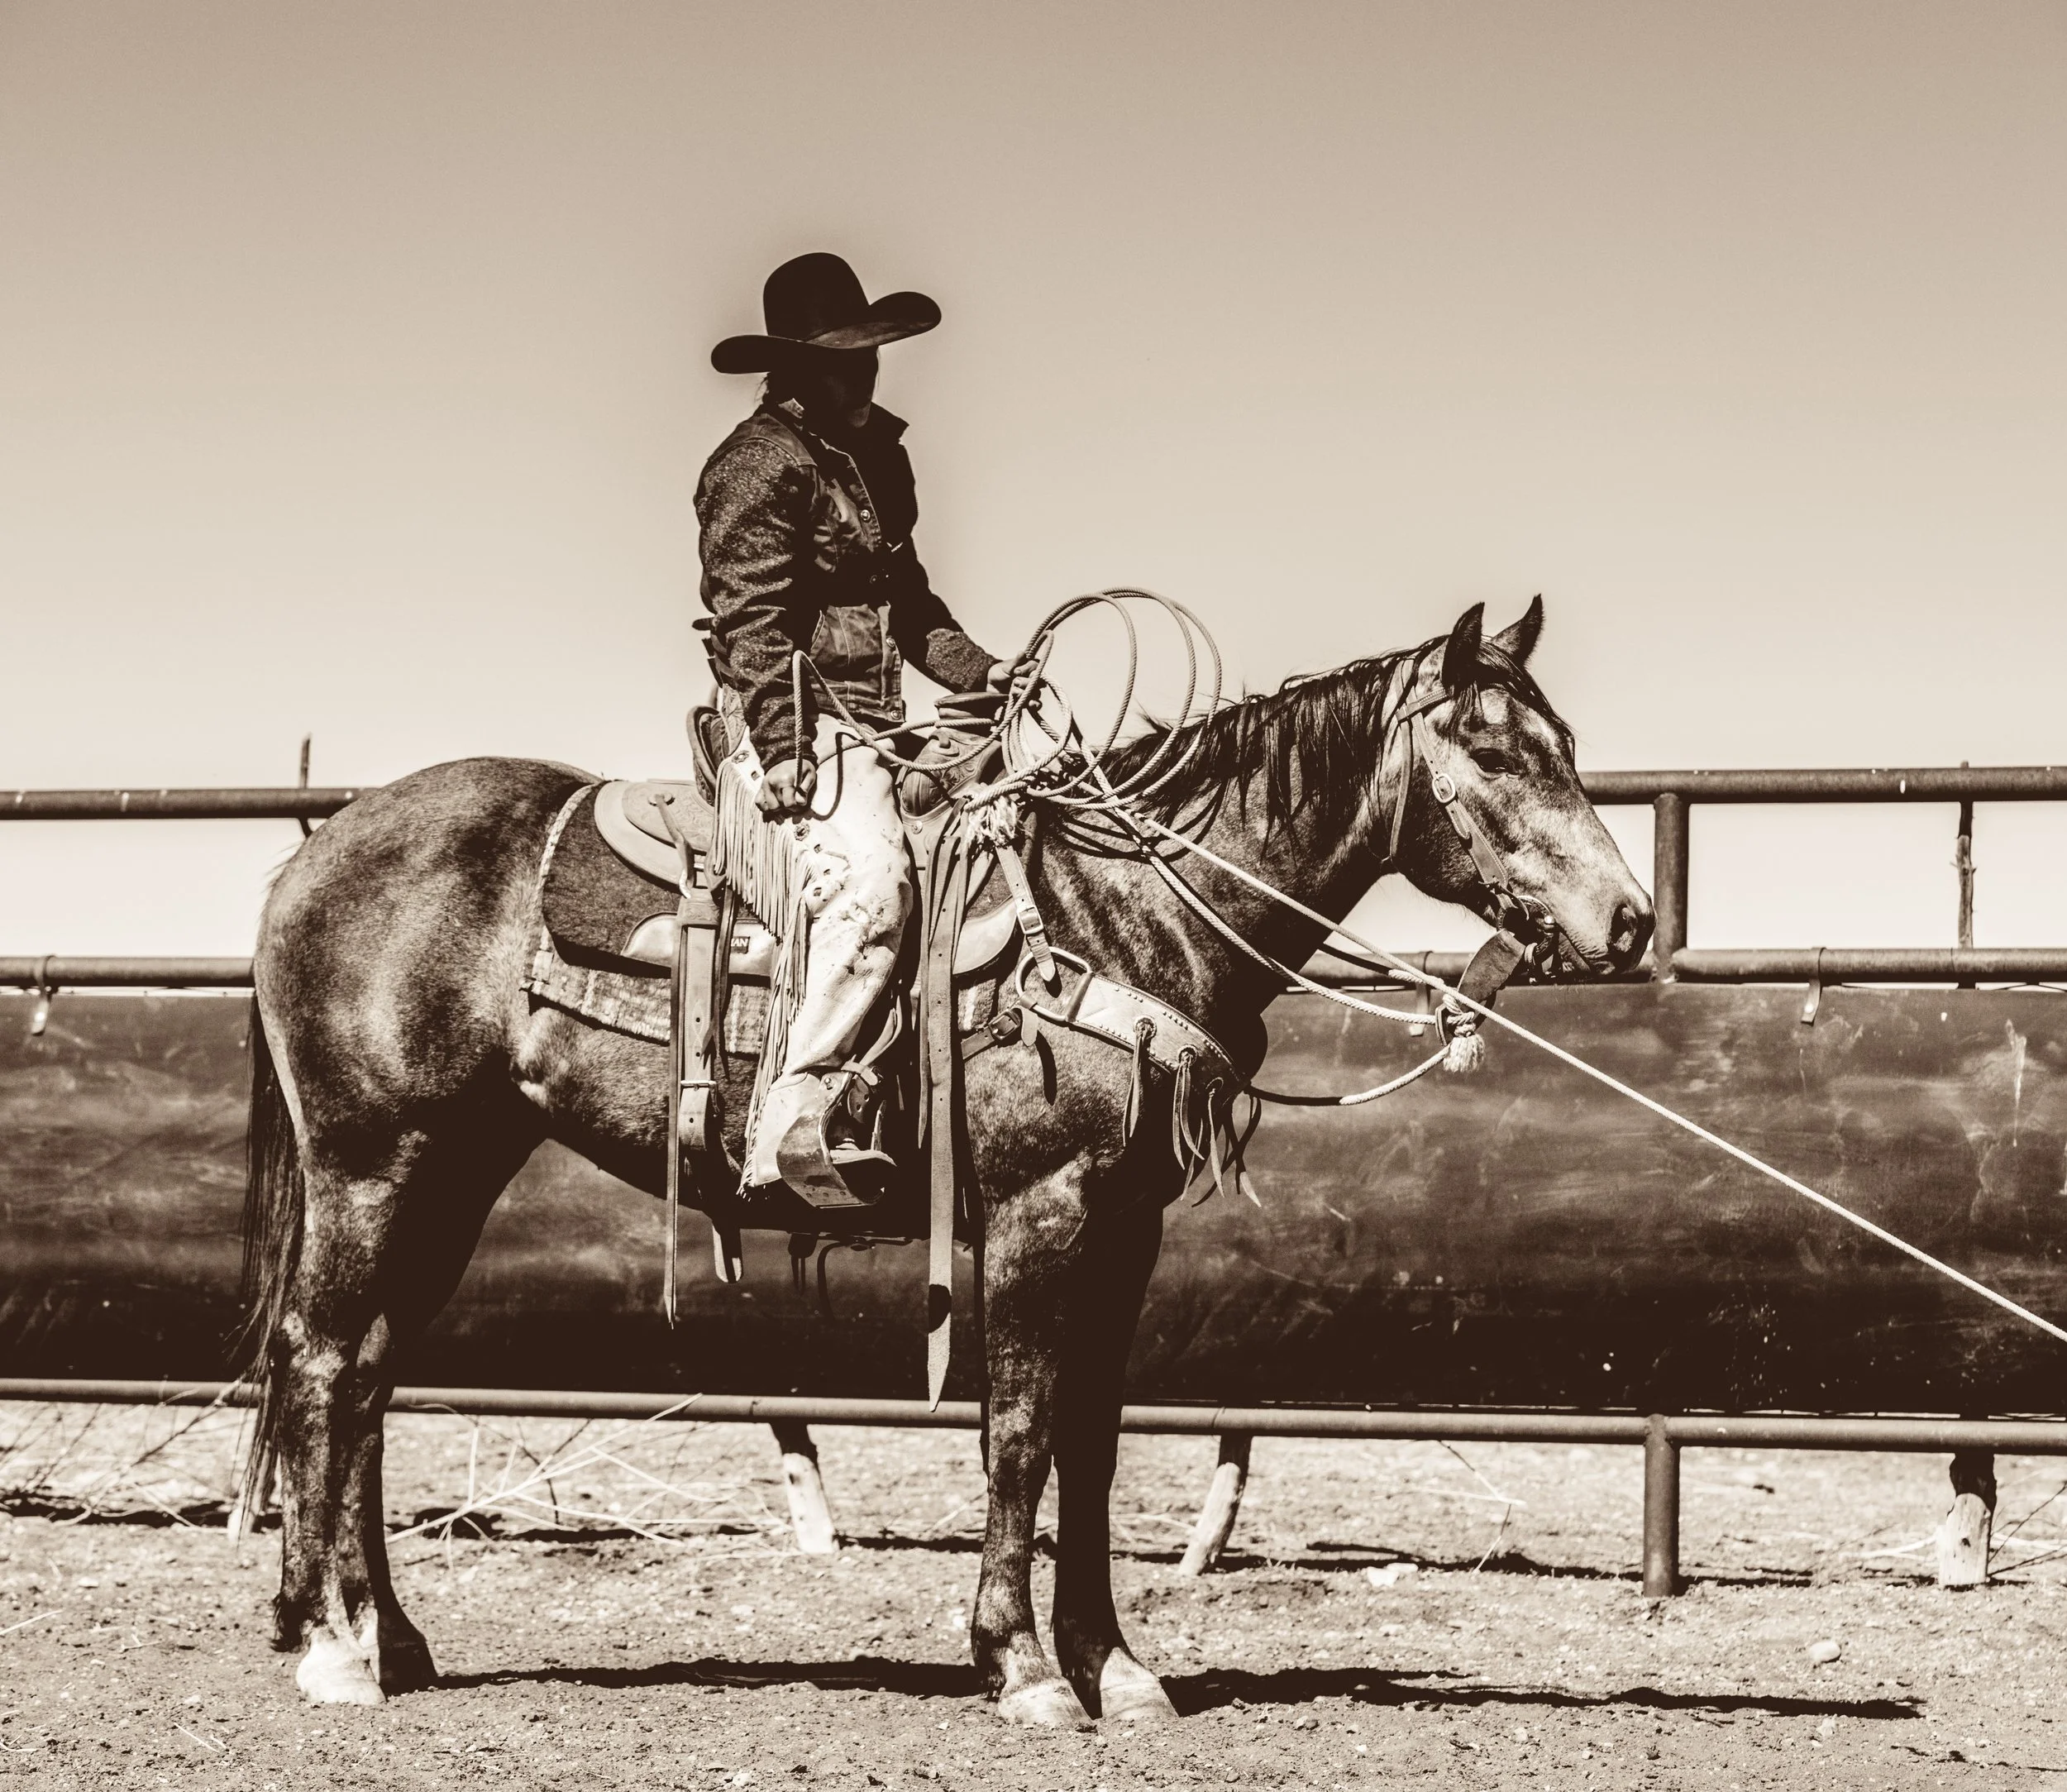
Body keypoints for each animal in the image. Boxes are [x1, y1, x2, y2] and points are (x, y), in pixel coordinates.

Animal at [235, 595, 1652, 1722]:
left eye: (1567, 745)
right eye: (1492, 747)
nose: (1629, 918)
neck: (1117, 912)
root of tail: (315, 851)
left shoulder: (1123, 1224)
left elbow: (1092, 1435)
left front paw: (1117, 1667)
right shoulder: (1041, 1207)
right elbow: (1019, 1424)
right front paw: (1021, 1668)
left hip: (452, 1170)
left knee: (369, 1375)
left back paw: (389, 1634)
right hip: (374, 1161)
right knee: (323, 1359)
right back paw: (331, 1650)